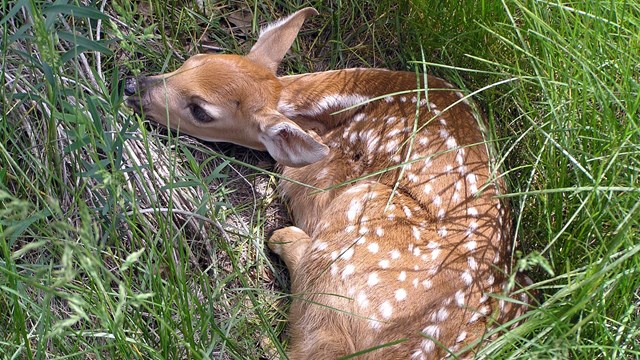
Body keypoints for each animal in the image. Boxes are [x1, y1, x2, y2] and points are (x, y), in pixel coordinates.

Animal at [124, 7, 528, 360]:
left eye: (200, 110)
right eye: (192, 60)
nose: (133, 85)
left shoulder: (321, 173)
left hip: (360, 216)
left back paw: (285, 238)